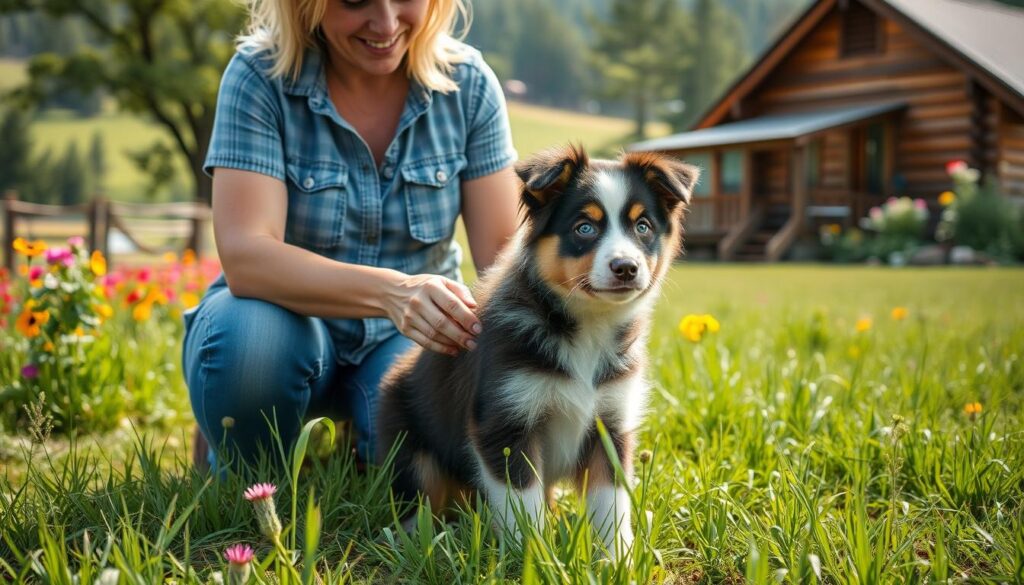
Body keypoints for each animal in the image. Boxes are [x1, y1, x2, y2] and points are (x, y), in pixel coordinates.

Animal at [380, 144, 700, 561]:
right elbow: (522, 502)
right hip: (407, 442)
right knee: (419, 497)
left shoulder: (611, 420)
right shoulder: (505, 421)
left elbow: (611, 501)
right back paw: (418, 541)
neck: (586, 325)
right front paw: (534, 557)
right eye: (585, 228)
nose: (626, 267)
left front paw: (618, 559)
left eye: (643, 227)